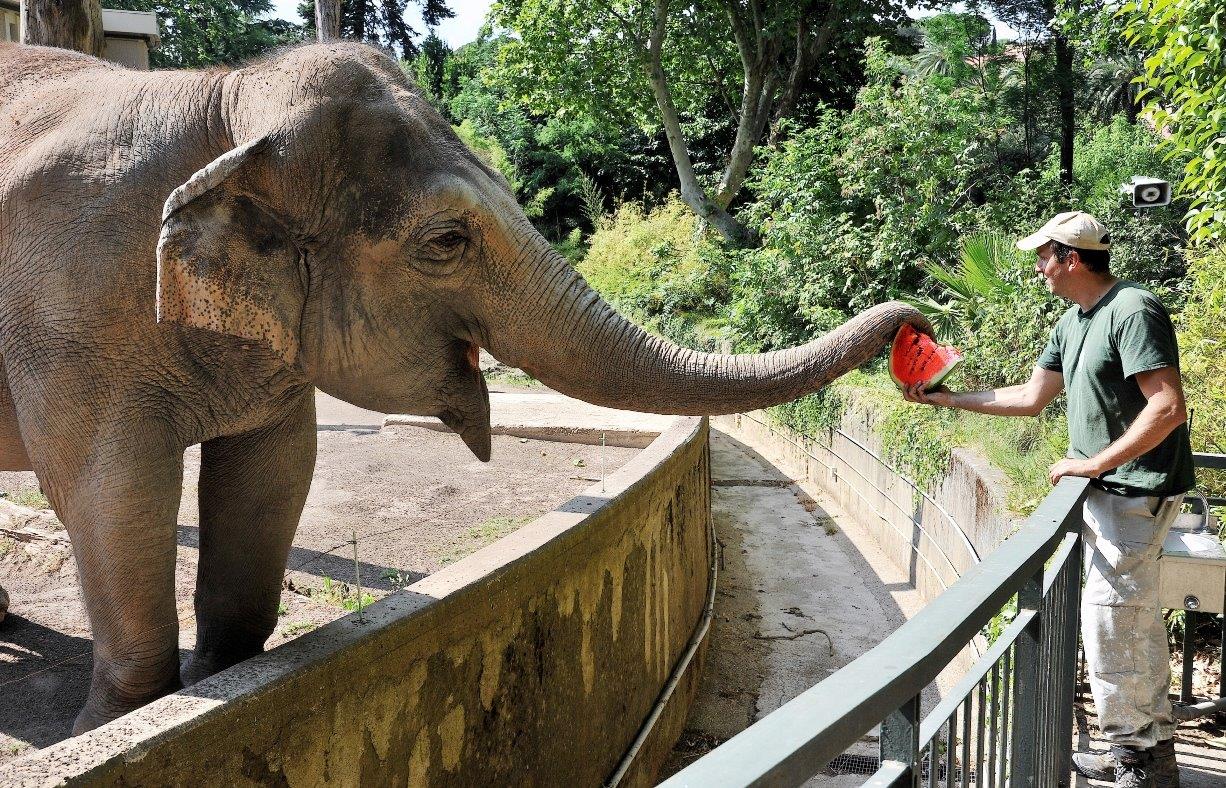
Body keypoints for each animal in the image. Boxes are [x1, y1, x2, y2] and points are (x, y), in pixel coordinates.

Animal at [0, 41, 921, 735]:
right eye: (445, 242)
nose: (914, 323)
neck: (217, 98)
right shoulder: (67, 325)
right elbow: (107, 490)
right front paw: (108, 728)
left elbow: (272, 476)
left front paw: (218, 683)